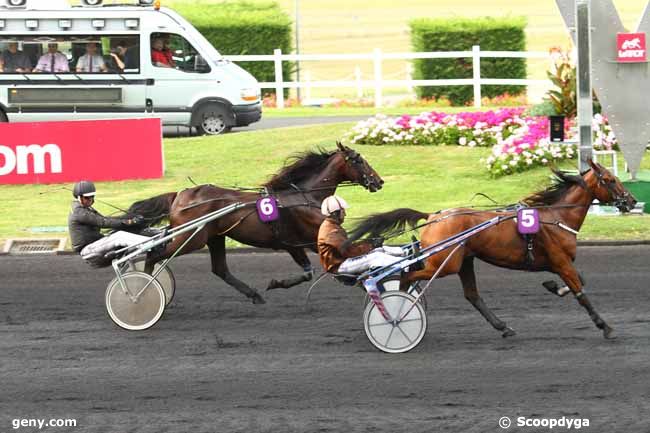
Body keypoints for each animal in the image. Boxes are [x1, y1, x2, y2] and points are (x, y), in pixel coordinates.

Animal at [127, 142, 382, 304]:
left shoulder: (308, 242)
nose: (379, 181)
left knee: (220, 269)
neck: (304, 196)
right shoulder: (297, 243)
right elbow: (311, 271)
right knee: (153, 255)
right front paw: (276, 283)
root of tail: (179, 195)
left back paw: (254, 295)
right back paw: (142, 290)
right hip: (191, 239)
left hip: (214, 237)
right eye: (359, 160)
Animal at [346, 160, 636, 340]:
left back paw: (503, 327)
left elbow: (578, 282)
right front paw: (606, 327)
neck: (556, 217)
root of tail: (434, 216)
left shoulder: (560, 263)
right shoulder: (561, 261)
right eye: (610, 179)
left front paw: (553, 286)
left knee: (472, 295)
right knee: (407, 275)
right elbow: (581, 293)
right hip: (444, 263)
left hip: (463, 261)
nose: (631, 201)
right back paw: (396, 313)